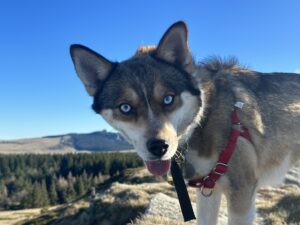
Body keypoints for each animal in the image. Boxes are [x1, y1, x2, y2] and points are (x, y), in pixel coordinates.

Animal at [70, 21, 300, 225]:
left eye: (168, 99)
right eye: (125, 107)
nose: (158, 147)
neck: (204, 119)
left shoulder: (241, 194)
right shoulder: (209, 189)